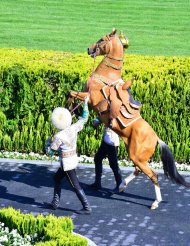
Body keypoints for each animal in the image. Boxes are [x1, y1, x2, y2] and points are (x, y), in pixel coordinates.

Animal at [70, 28, 190, 209]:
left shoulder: (89, 98)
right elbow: (71, 94)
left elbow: (71, 93)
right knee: (139, 170)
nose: (89, 49)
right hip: (135, 155)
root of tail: (156, 138)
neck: (106, 76)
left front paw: (69, 109)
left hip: (137, 156)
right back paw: (121, 186)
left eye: (102, 39)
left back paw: (155, 202)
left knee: (153, 175)